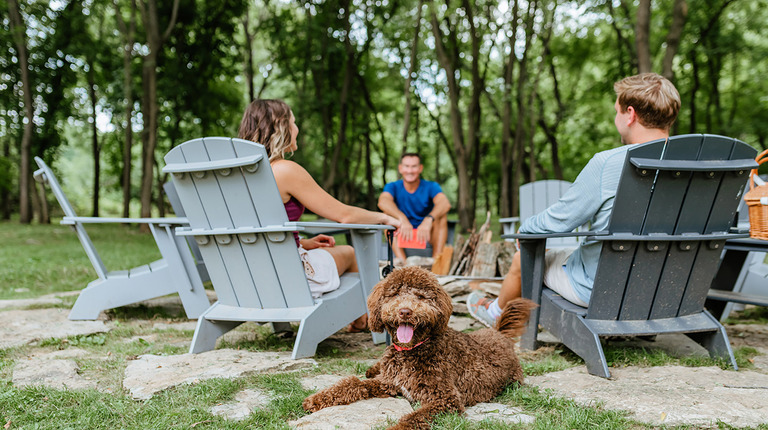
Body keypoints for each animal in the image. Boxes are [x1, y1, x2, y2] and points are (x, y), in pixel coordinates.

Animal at [300, 268, 536, 428]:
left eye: (421, 297)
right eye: (395, 294)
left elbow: (412, 419)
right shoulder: (389, 383)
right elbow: (353, 383)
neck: (411, 351)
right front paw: (318, 399)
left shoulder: (445, 400)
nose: (405, 311)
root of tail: (499, 334)